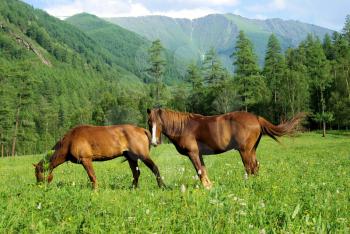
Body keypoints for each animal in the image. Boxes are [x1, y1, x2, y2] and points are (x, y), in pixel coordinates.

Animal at [33, 124, 165, 188]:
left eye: (38, 175)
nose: (39, 186)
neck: (70, 141)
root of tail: (142, 129)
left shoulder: (86, 160)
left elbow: (92, 177)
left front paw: (95, 191)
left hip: (142, 156)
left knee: (155, 168)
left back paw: (161, 186)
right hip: (130, 158)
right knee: (136, 173)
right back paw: (133, 188)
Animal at [146, 109, 302, 189]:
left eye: (160, 123)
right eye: (149, 123)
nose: (153, 142)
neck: (183, 128)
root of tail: (256, 118)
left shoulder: (193, 153)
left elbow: (199, 171)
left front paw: (206, 187)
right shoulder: (199, 154)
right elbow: (204, 170)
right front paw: (210, 186)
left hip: (245, 151)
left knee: (249, 168)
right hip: (252, 150)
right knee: (255, 167)